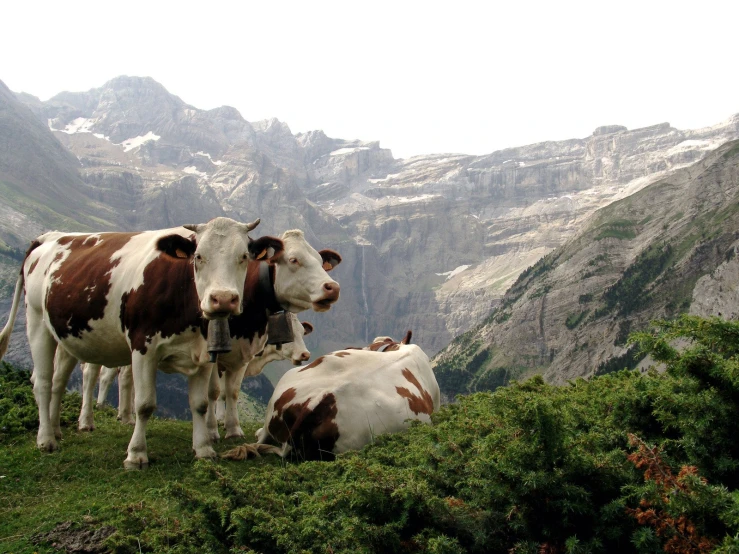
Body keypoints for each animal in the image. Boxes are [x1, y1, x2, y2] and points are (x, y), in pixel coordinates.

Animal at [0, 216, 272, 466]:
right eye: (198, 257)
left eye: (244, 257)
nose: (223, 299)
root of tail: (50, 236)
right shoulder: (143, 348)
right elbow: (144, 404)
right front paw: (136, 454)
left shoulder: (203, 354)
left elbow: (201, 403)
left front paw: (204, 449)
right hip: (37, 321)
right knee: (43, 382)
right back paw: (46, 439)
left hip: (66, 335)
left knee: (58, 381)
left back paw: (56, 430)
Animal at [208, 226, 342, 438]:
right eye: (293, 259)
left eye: (321, 262)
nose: (333, 288)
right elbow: (214, 391)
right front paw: (214, 427)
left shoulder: (240, 356)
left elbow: (230, 391)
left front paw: (231, 426)